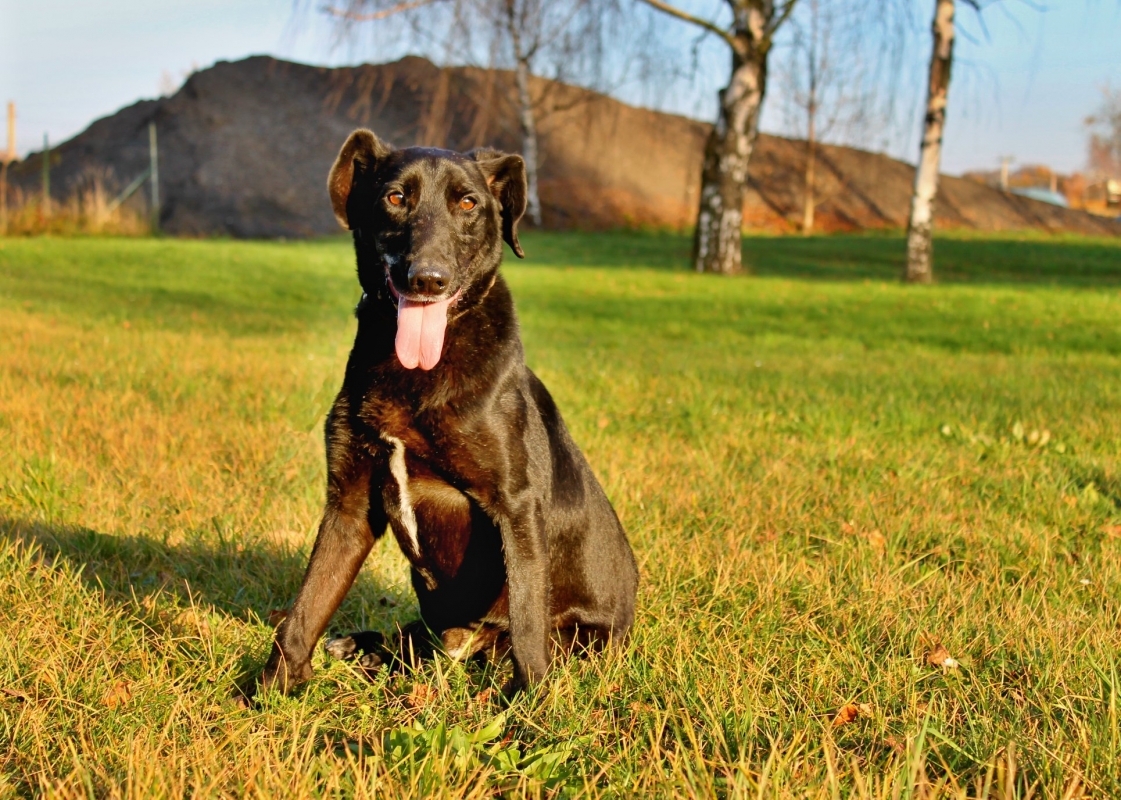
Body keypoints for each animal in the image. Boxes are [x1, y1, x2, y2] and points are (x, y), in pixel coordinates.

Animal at [256, 129, 641, 690]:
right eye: (396, 197)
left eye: (468, 203)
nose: (427, 279)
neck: (417, 369)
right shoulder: (349, 504)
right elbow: (306, 608)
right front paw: (268, 692)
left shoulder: (516, 507)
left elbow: (528, 624)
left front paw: (530, 707)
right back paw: (363, 648)